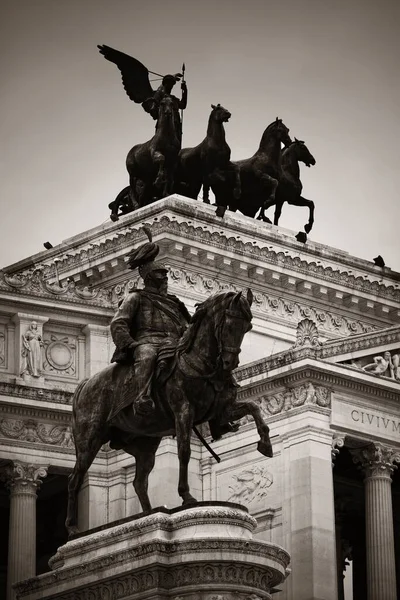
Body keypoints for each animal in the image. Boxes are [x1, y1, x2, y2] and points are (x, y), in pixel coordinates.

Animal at [66, 290, 272, 536]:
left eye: (248, 326)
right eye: (230, 323)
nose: (230, 362)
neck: (200, 363)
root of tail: (84, 385)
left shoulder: (221, 412)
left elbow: (255, 408)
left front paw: (265, 444)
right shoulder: (183, 411)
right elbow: (184, 451)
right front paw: (187, 496)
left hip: (145, 444)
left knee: (139, 481)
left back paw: (149, 515)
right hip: (90, 438)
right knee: (75, 477)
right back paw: (73, 529)